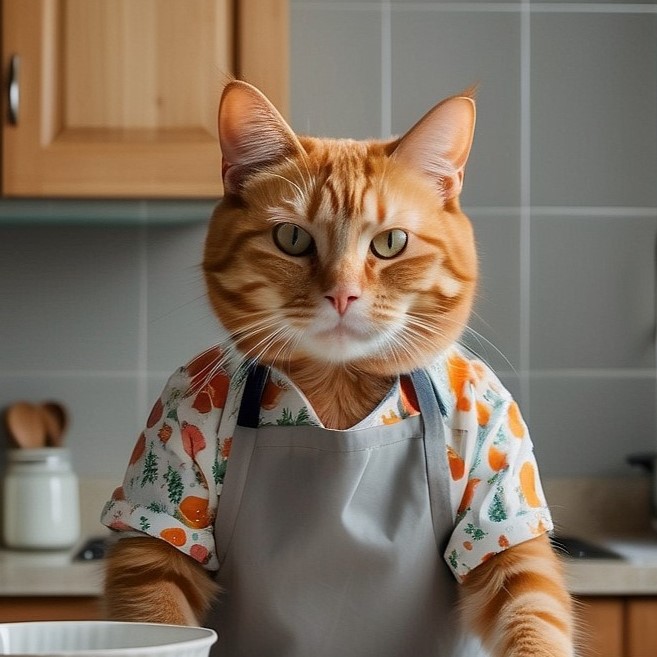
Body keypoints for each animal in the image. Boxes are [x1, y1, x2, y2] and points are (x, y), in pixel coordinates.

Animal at [105, 82, 572, 656]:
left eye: (391, 242)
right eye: (292, 238)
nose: (342, 293)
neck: (338, 389)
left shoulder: (504, 519)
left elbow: (532, 611)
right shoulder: (162, 515)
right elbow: (158, 605)